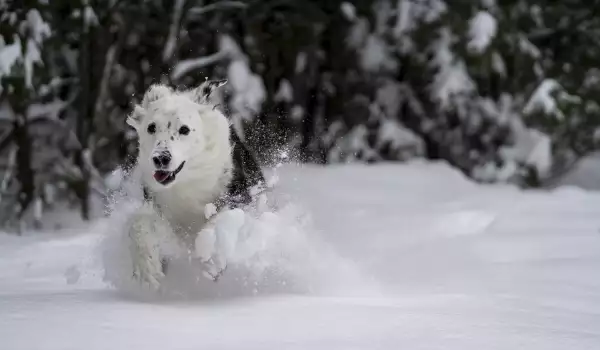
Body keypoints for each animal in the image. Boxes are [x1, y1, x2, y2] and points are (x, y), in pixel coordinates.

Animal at [125, 80, 264, 288]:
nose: (160, 158)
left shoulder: (240, 195)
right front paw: (146, 269)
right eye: (151, 127)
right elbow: (139, 223)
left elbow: (221, 218)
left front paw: (210, 255)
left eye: (184, 129)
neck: (188, 181)